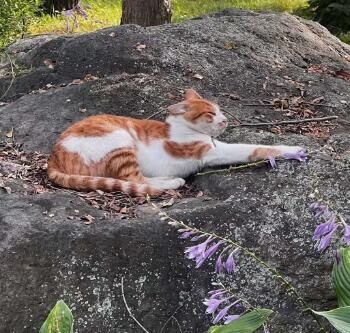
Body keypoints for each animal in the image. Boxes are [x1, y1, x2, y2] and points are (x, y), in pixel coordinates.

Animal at [47, 89, 304, 197]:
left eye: (220, 110)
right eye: (210, 113)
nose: (225, 120)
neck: (183, 128)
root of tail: (53, 155)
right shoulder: (210, 152)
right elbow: (254, 148)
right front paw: (294, 150)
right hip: (119, 139)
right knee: (134, 181)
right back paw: (172, 182)